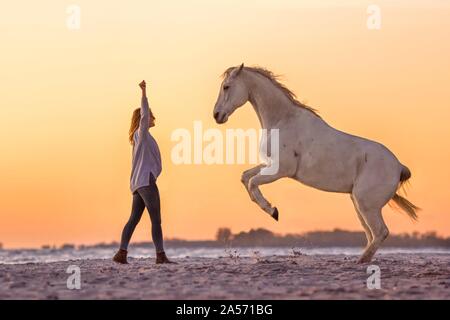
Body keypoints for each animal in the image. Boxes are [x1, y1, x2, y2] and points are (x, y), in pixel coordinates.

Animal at [213, 63, 420, 262]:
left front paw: (273, 212)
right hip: (358, 203)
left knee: (380, 232)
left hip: (366, 204)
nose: (216, 115)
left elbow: (252, 182)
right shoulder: (270, 165)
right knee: (371, 234)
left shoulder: (282, 170)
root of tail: (398, 166)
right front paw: (271, 209)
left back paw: (360, 260)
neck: (283, 120)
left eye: (226, 86)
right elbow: (245, 177)